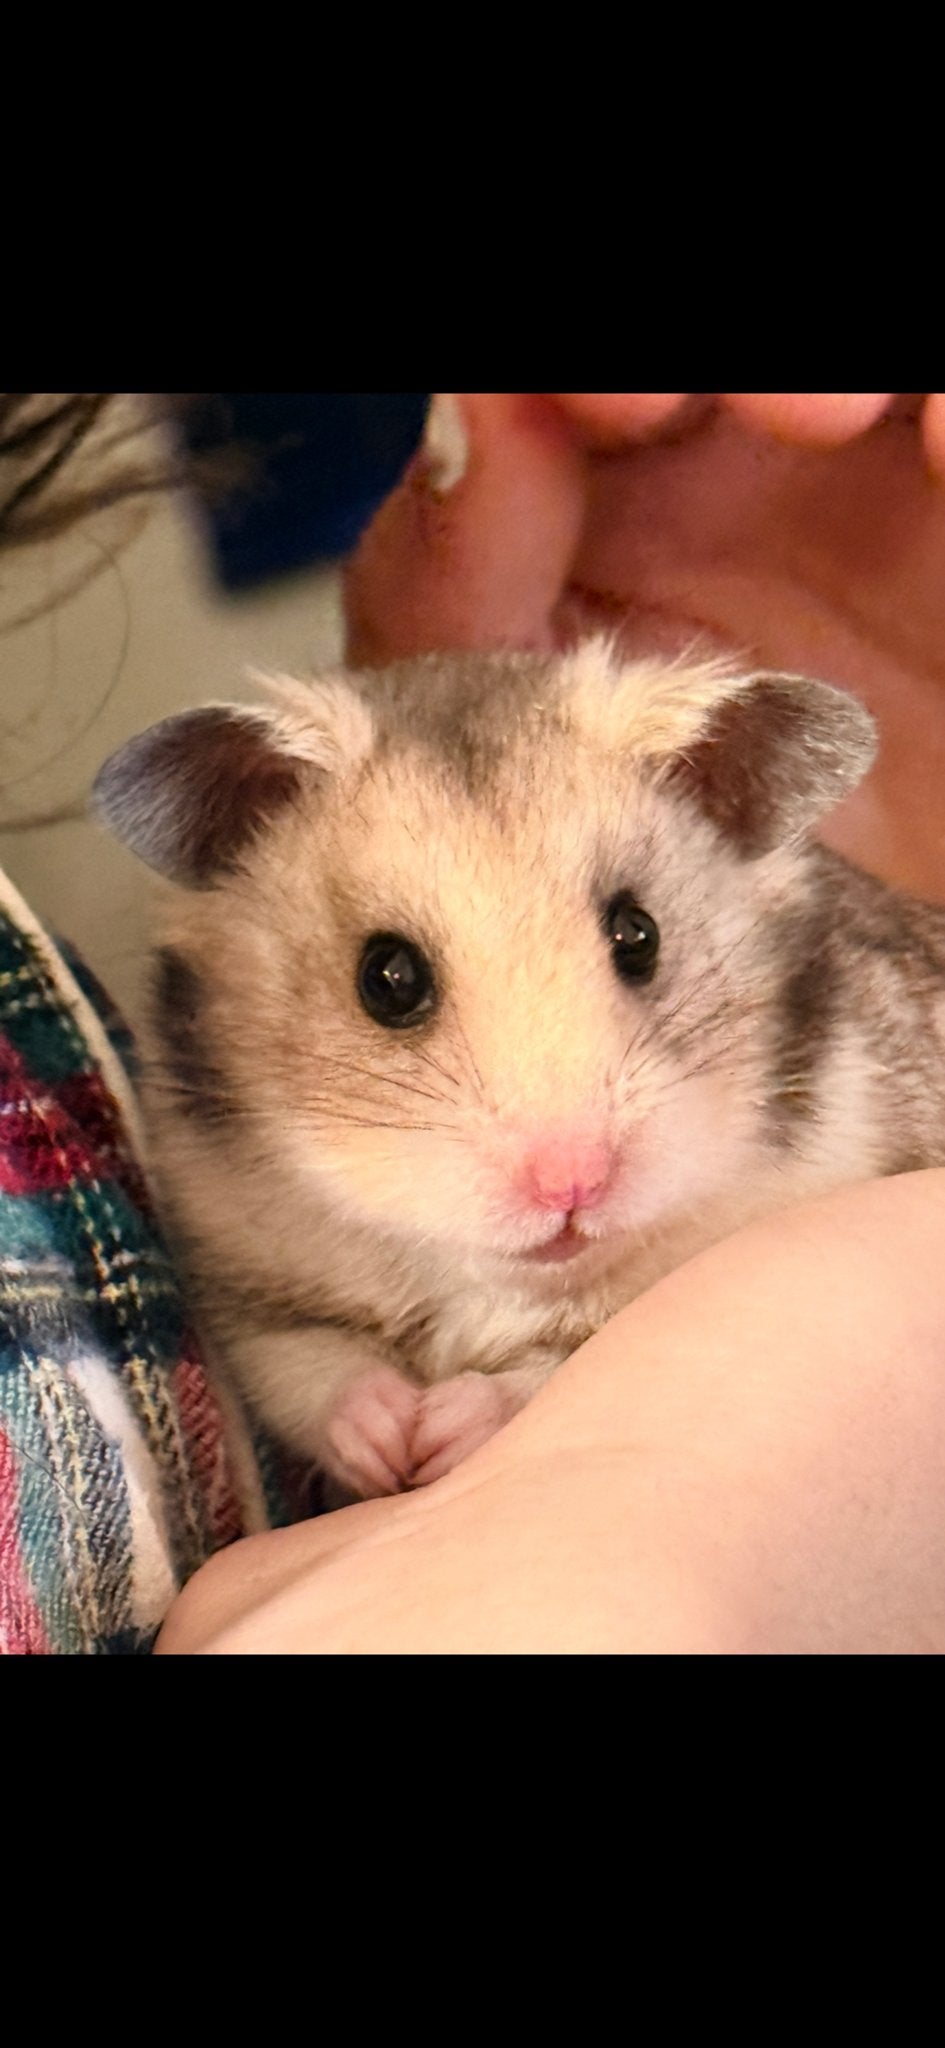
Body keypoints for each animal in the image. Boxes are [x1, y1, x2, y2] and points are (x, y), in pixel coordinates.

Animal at [93, 638, 945, 1500]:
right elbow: (314, 1369)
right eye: (387, 977)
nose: (573, 1187)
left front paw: (440, 1430)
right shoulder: (248, 1289)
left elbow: (546, 1374)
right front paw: (389, 1439)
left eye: (637, 934)